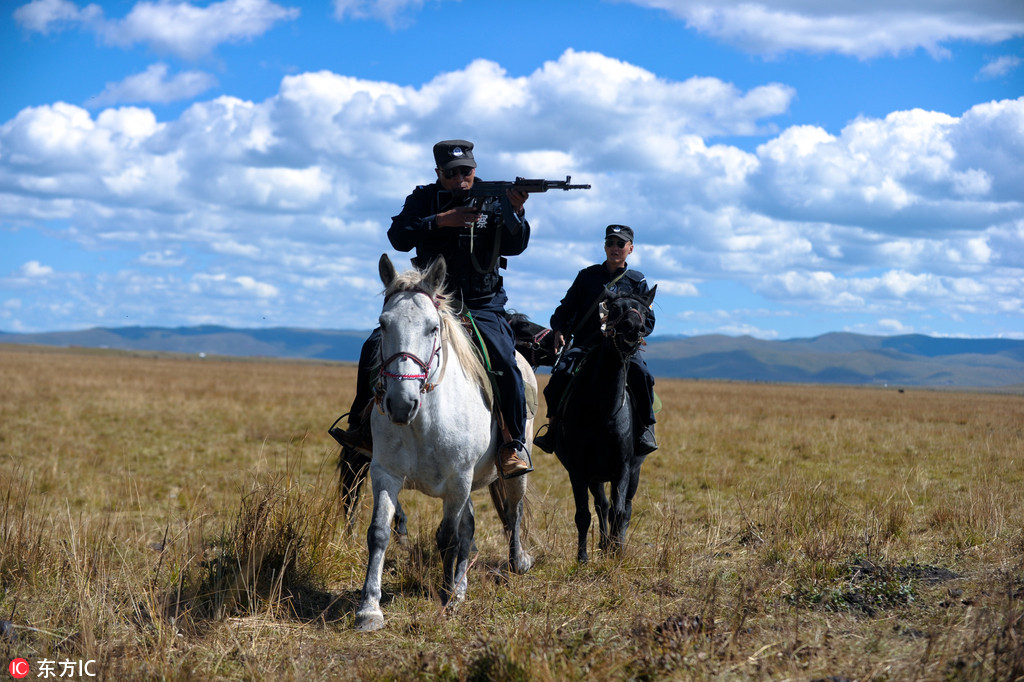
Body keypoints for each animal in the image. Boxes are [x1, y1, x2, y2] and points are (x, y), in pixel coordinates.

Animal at [356, 251, 536, 630]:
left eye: (432, 327)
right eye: (383, 323)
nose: (401, 403)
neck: (423, 422)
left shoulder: (458, 480)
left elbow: (447, 537)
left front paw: (445, 597)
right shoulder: (385, 474)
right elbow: (379, 532)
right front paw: (369, 608)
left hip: (511, 474)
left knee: (512, 513)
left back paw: (515, 563)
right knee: (470, 526)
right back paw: (462, 586)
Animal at [552, 284, 655, 561]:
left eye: (645, 312)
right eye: (615, 308)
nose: (633, 328)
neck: (602, 412)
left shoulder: (623, 467)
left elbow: (619, 512)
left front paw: (617, 552)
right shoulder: (578, 469)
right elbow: (584, 514)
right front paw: (583, 558)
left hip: (634, 472)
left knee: (624, 508)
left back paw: (614, 544)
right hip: (595, 476)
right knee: (601, 505)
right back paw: (603, 543)